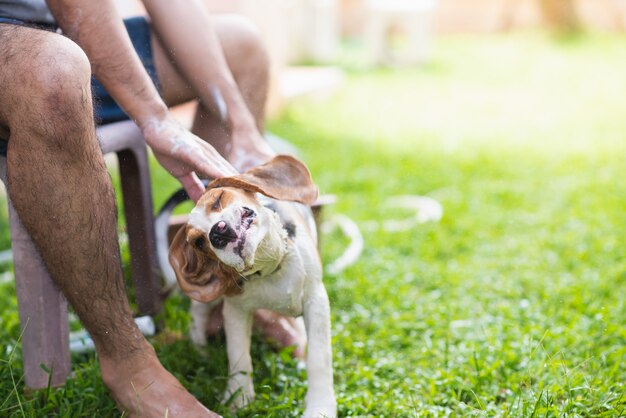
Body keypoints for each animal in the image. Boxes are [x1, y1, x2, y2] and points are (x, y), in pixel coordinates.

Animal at [168, 156, 336, 418]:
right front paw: (239, 399)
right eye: (199, 242)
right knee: (198, 313)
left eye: (218, 199)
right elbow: (238, 356)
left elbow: (319, 358)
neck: (270, 267)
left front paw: (320, 408)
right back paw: (200, 349)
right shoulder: (235, 309)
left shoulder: (315, 300)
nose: (217, 233)